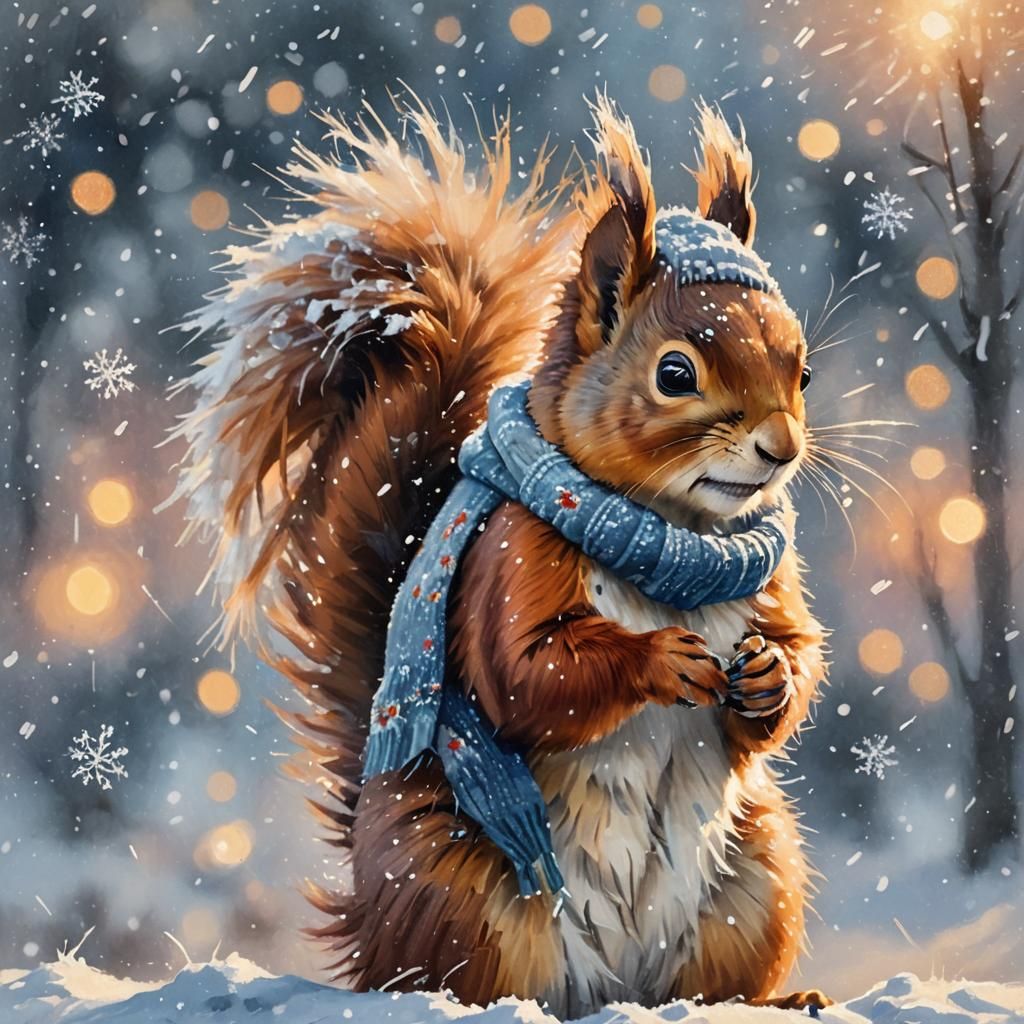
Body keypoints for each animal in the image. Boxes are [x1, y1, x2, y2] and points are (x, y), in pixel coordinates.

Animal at [168, 93, 829, 1018]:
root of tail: (611, 988)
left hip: (760, 879)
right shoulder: (509, 563)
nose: (782, 448)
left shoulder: (773, 576)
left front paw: (768, 675)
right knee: (466, 976)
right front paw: (660, 659)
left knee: (706, 983)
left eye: (801, 371)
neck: (672, 533)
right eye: (674, 374)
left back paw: (773, 999)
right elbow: (524, 674)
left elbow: (797, 648)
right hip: (461, 891)